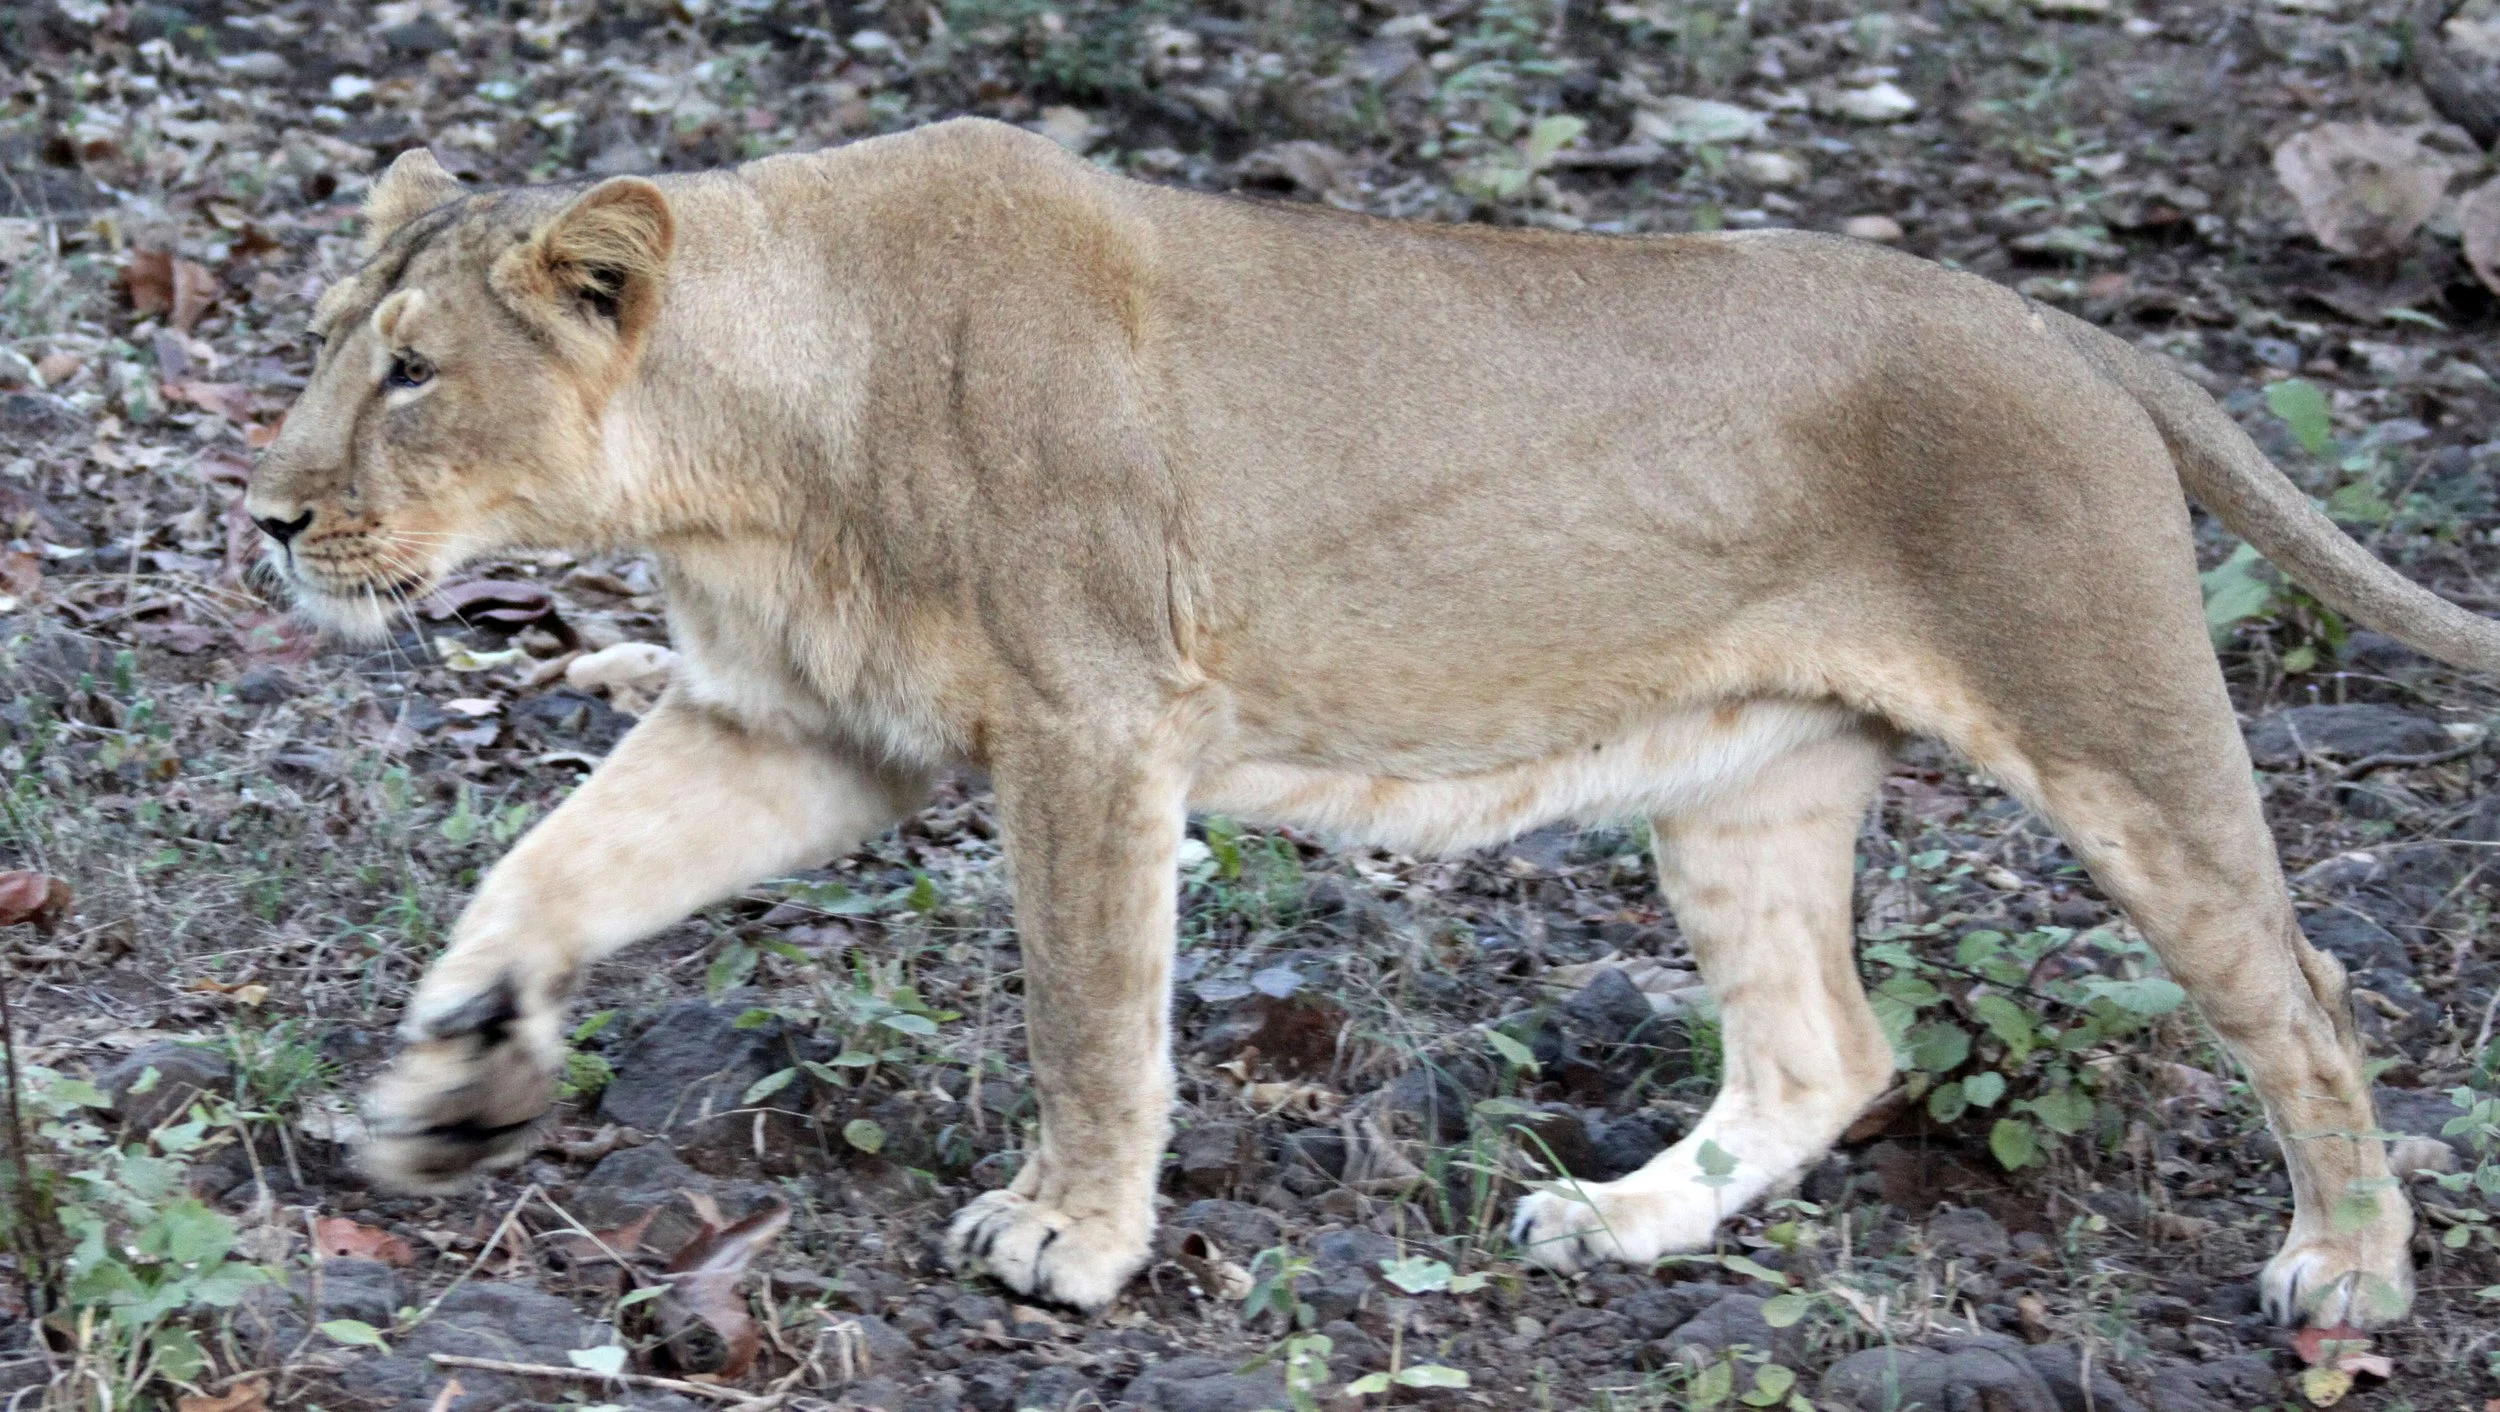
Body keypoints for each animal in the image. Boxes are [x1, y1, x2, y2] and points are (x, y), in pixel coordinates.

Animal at [246, 118, 2495, 1325]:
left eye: (414, 372)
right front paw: (451, 1078)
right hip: (1744, 772)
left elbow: (1090, 1005)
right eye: (332, 345)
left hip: (2104, 710)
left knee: (2297, 992)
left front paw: (1071, 1235)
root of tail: (2065, 325)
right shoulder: (796, 726)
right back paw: (1619, 1220)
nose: (261, 512)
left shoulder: (1093, 717)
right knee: (1824, 1045)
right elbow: (547, 864)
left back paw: (2348, 1275)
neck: (746, 443)